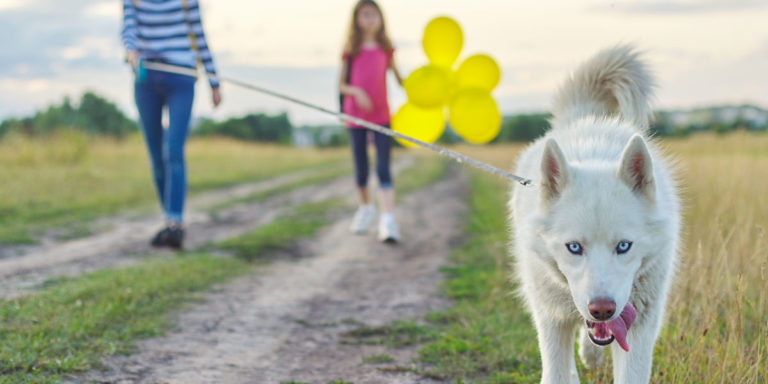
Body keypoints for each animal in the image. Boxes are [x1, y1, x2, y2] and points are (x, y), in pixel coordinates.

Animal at [510, 45, 680, 384]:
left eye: (624, 246)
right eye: (574, 247)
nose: (602, 309)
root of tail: (584, 119)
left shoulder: (639, 328)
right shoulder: (552, 321)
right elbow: (557, 372)